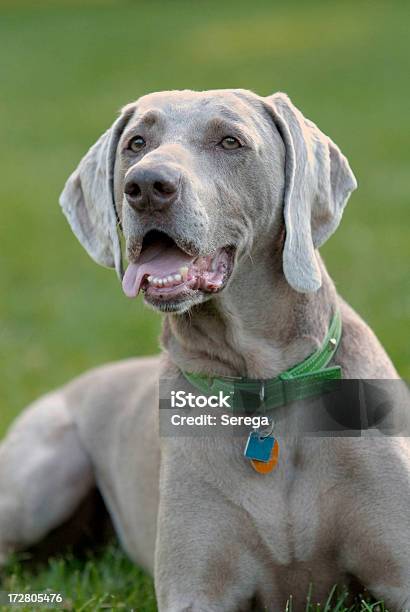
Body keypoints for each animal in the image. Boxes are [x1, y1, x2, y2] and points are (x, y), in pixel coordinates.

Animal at [0, 88, 410, 608]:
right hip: (45, 471)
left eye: (230, 141)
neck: (264, 388)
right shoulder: (194, 589)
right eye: (136, 143)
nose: (146, 186)